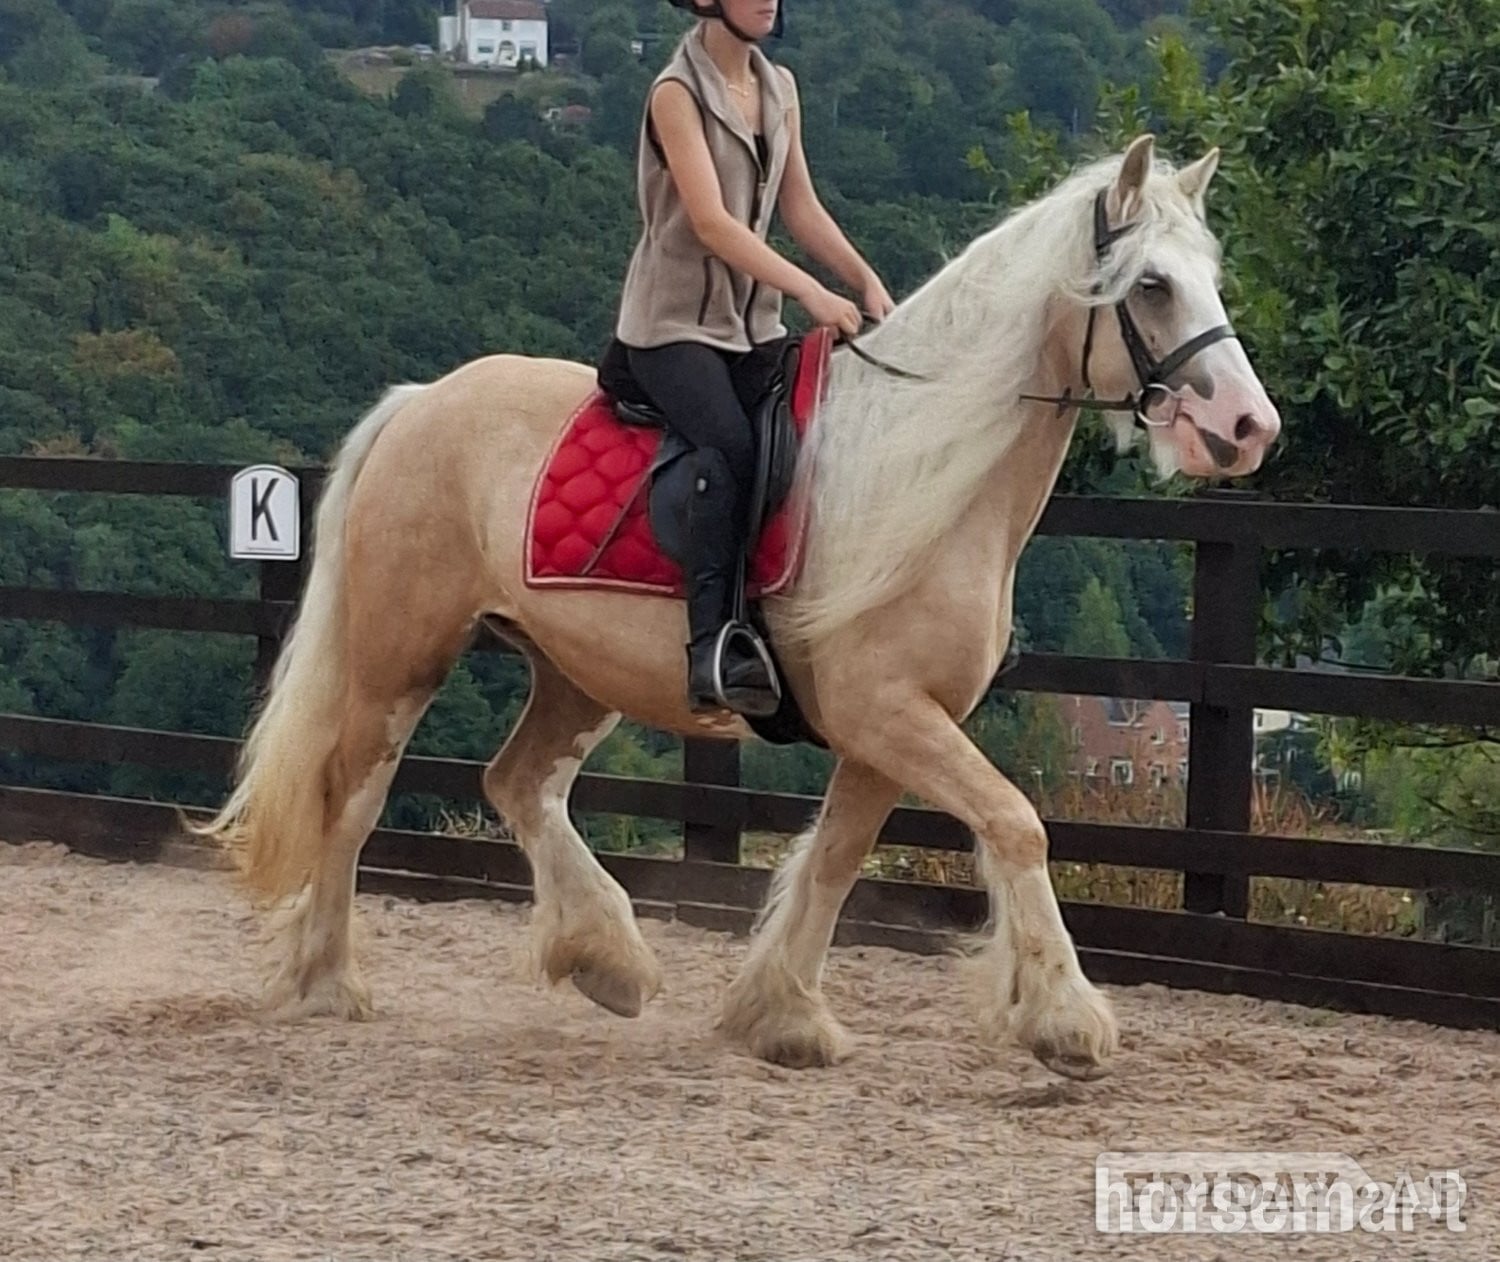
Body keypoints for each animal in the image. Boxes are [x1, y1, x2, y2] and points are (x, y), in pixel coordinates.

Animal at [188, 135, 1280, 1081]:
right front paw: (1065, 1021)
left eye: (1212, 275)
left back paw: (606, 959)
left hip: (576, 673)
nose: (1247, 426)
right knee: (353, 796)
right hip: (401, 659)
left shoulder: (885, 730)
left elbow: (837, 858)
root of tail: (422, 400)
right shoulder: (891, 713)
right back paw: (330, 978)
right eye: (1151, 285)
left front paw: (782, 1014)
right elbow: (1017, 825)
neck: (919, 469)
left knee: (519, 783)